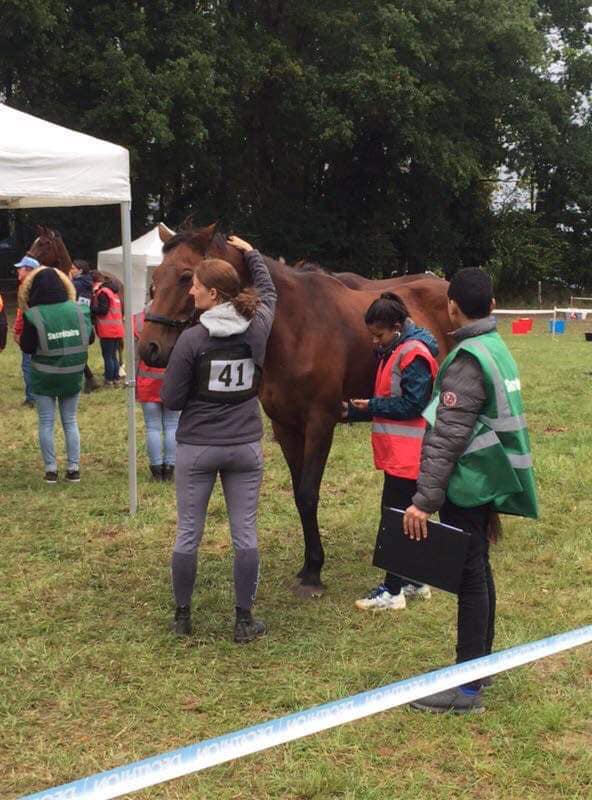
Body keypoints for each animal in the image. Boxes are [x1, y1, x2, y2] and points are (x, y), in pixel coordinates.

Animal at [139, 222, 454, 596]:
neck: (294, 327)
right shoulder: (285, 426)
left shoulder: (320, 422)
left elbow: (307, 494)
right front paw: (308, 565)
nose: (148, 347)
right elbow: (298, 495)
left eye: (187, 276)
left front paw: (315, 570)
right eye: (156, 276)